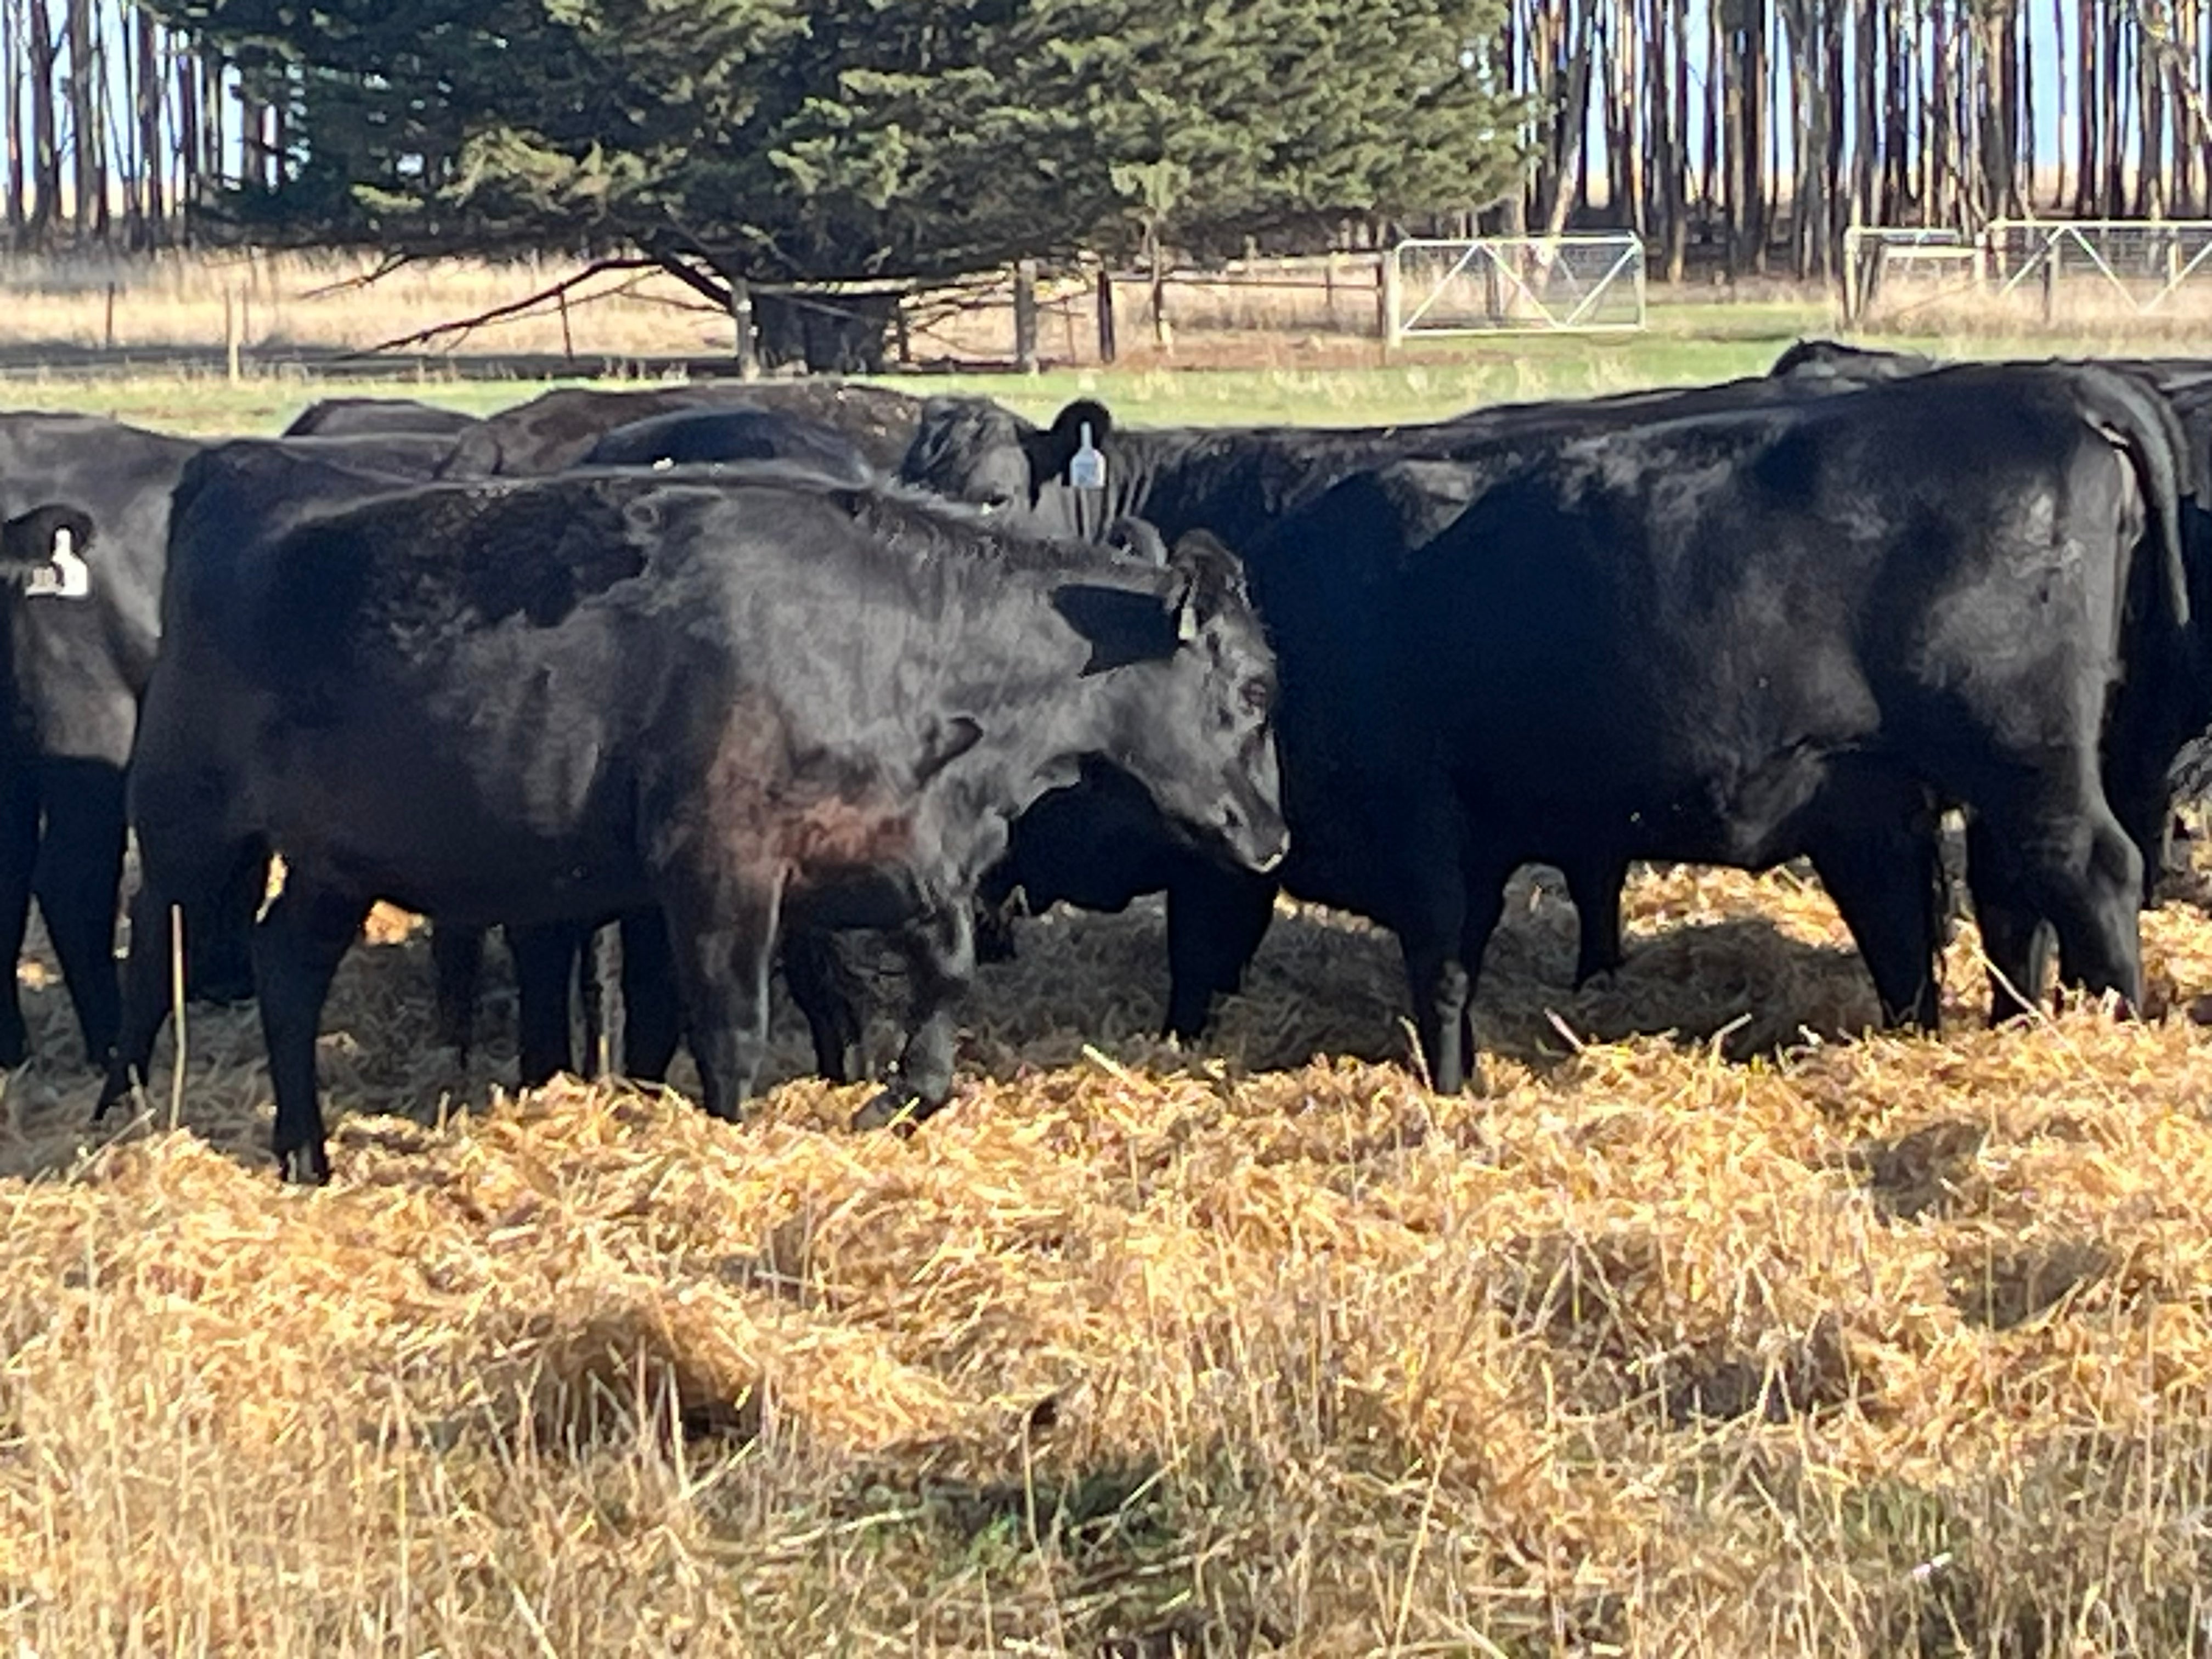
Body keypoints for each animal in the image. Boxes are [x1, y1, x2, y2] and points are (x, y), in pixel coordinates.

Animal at [97, 449, 1287, 1182]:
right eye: (1256, 688)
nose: (1274, 838)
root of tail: (241, 469)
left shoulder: (898, 852)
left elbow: (944, 972)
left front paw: (906, 1094)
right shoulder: (720, 868)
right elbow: (731, 1027)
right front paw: (732, 1142)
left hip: (339, 859)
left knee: (288, 967)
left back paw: (305, 1153)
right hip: (185, 822)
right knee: (148, 954)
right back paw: (120, 1110)